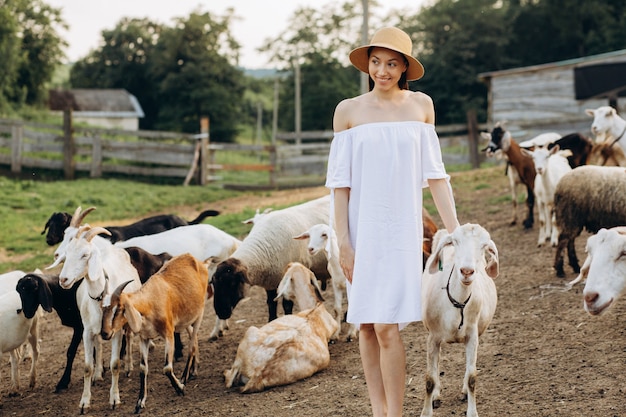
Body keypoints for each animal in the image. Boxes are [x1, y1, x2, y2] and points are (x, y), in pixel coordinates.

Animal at [58, 224, 142, 412]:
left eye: (85, 255)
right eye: (67, 253)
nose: (63, 279)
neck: (101, 297)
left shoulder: (116, 332)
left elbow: (115, 364)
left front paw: (114, 399)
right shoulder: (87, 332)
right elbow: (87, 367)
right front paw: (84, 402)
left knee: (130, 337)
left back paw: (129, 366)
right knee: (99, 344)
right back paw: (98, 375)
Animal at [98, 252, 208, 412]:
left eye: (118, 309)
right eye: (102, 308)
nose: (105, 333)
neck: (151, 301)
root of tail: (194, 259)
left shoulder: (168, 333)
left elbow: (167, 368)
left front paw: (180, 388)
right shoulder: (144, 338)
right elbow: (143, 369)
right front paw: (140, 403)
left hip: (199, 314)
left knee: (192, 345)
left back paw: (184, 377)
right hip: (186, 320)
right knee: (194, 338)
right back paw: (193, 371)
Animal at [211, 193, 330, 326]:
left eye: (232, 283)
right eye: (213, 283)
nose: (221, 313)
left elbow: (287, 305)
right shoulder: (270, 282)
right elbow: (271, 304)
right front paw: (271, 320)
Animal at [416, 224, 500, 416]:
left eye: (484, 246)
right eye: (455, 241)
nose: (467, 271)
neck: (457, 302)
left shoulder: (472, 336)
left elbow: (472, 377)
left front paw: (472, 412)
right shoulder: (432, 337)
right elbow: (429, 379)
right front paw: (426, 411)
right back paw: (436, 396)